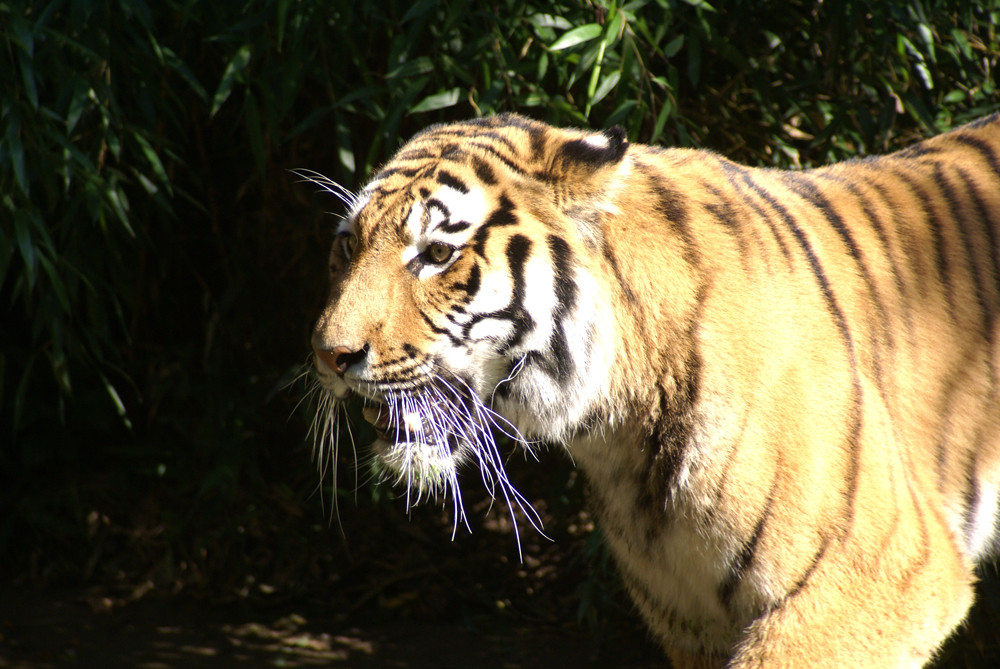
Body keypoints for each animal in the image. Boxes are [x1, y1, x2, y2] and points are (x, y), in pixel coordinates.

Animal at [306, 112, 1000, 664]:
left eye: (436, 254)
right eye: (347, 245)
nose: (329, 355)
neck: (619, 431)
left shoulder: (876, 578)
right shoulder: (691, 619)